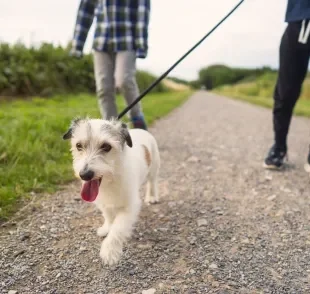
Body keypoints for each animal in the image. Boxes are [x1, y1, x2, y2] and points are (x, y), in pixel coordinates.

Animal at [62, 117, 161, 266]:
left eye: (106, 146)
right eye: (79, 145)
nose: (85, 175)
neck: (111, 178)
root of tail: (142, 130)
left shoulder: (129, 207)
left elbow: (118, 228)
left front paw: (109, 251)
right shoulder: (103, 203)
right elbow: (108, 217)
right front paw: (106, 228)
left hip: (153, 168)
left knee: (152, 182)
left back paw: (151, 196)